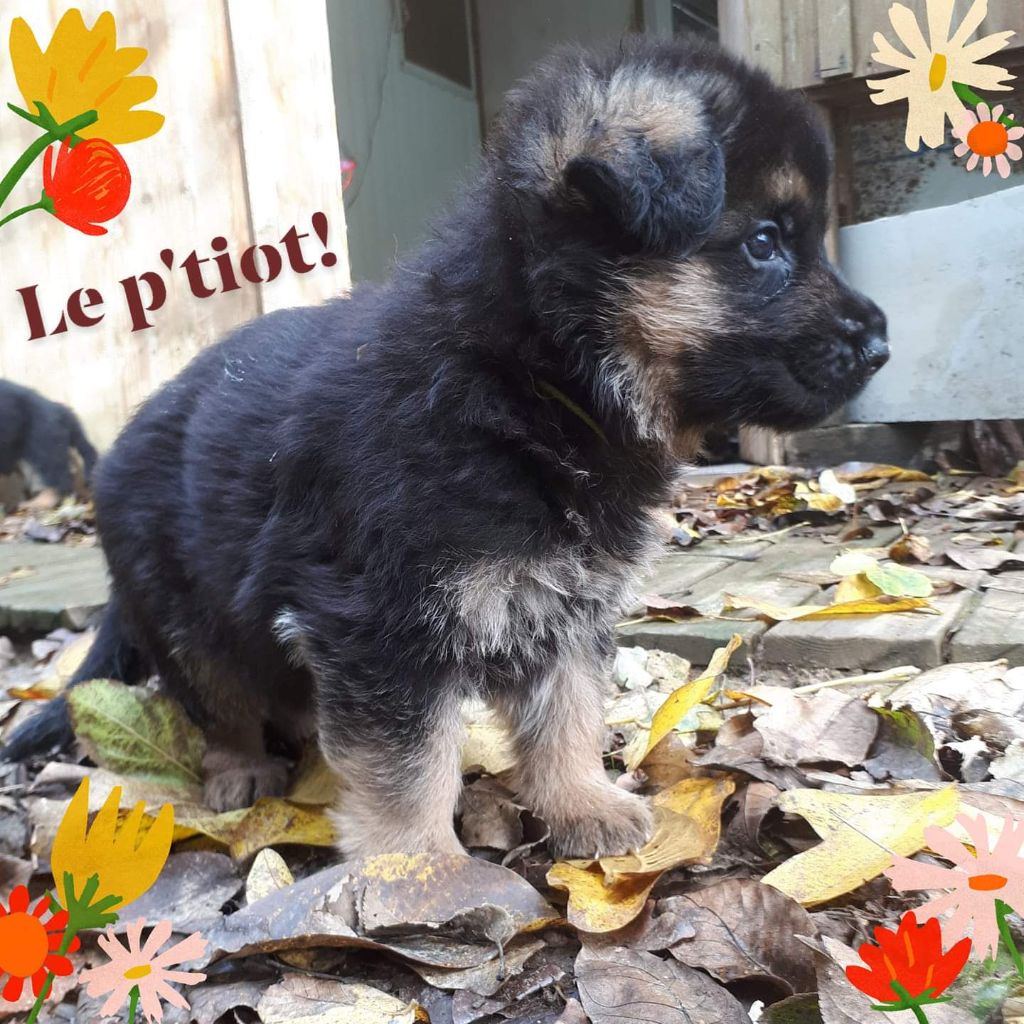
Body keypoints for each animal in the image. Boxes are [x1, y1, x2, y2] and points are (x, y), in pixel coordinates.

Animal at [4, 36, 888, 860]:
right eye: (765, 243)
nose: (881, 345)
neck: (523, 378)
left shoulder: (565, 609)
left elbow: (566, 715)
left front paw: (582, 805)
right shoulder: (378, 625)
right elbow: (407, 762)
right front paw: (419, 871)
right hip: (186, 613)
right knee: (217, 701)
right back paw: (240, 770)